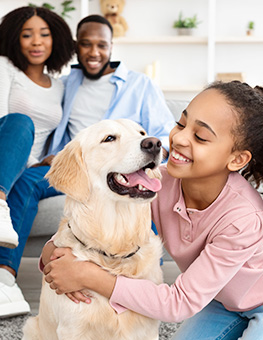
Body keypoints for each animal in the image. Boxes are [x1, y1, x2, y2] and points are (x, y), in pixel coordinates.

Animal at [22, 118, 164, 338]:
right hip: (31, 326)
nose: (154, 144)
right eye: (109, 138)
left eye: (141, 132)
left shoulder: (148, 329)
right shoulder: (72, 329)